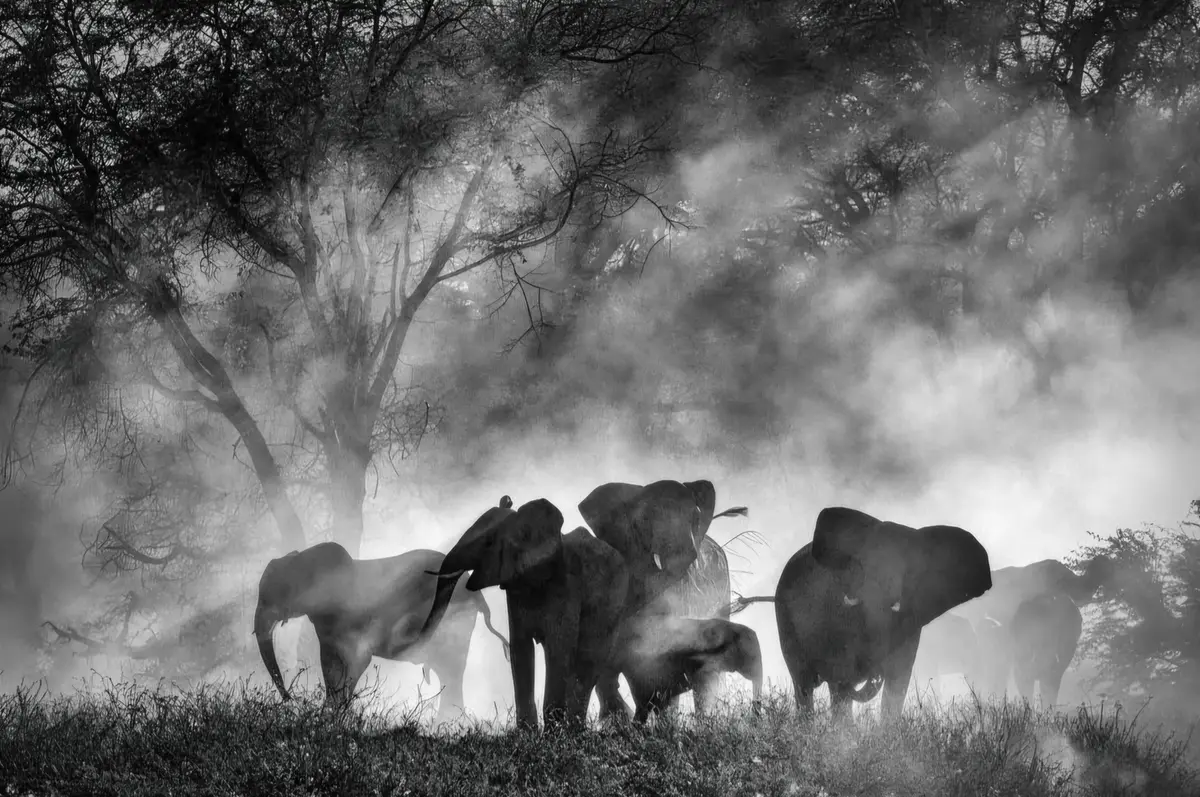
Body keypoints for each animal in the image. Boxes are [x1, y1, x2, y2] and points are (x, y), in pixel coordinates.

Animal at [254, 541, 510, 718]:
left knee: (451, 670)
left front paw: (336, 718)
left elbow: (357, 661)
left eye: (276, 593)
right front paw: (329, 717)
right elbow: (330, 665)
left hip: (454, 621)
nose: (290, 698)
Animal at [421, 496, 629, 730]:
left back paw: (575, 730)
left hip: (613, 607)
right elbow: (520, 649)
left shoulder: (566, 586)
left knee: (588, 662)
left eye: (489, 543)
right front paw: (527, 732)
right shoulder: (515, 588)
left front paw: (552, 733)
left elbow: (558, 649)